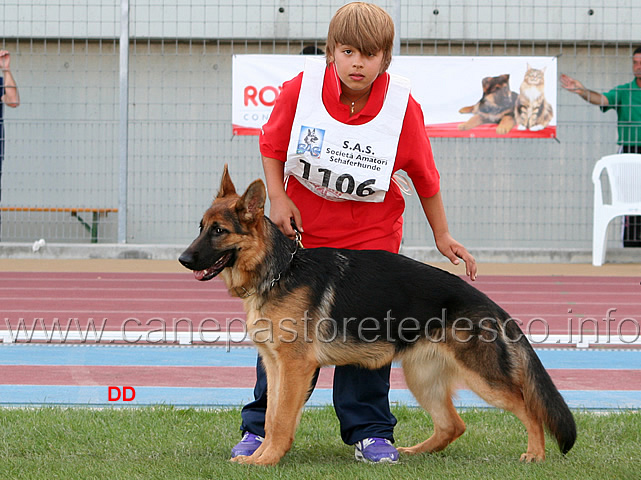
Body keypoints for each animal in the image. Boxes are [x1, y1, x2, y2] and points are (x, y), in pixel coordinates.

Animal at [179, 168, 576, 464]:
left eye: (219, 231)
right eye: (200, 227)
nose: (183, 260)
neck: (280, 270)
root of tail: (490, 304)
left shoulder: (294, 368)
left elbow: (279, 420)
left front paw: (266, 460)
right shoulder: (276, 368)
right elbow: (272, 414)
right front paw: (260, 455)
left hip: (482, 379)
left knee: (528, 407)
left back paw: (535, 454)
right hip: (422, 378)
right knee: (453, 425)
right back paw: (412, 452)